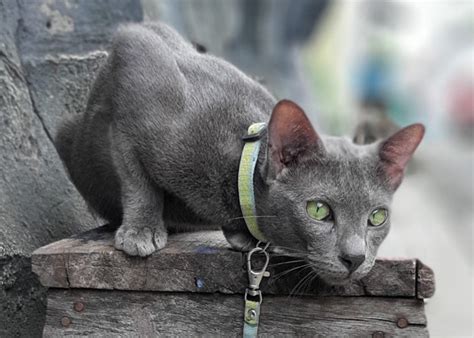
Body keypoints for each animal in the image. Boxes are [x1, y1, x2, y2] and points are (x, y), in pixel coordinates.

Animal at [56, 22, 426, 284]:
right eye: (319, 210)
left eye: (377, 217)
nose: (355, 258)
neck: (235, 166)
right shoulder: (134, 57)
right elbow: (137, 178)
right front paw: (141, 232)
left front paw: (241, 236)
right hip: (67, 129)